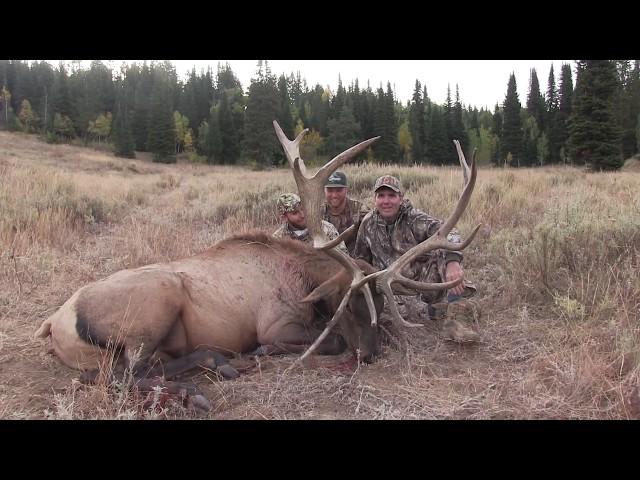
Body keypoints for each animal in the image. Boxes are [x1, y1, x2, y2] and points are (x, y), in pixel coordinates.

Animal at [33, 120, 476, 404]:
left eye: (380, 303)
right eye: (345, 303)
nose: (370, 353)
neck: (305, 279)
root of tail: (53, 322)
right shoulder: (276, 324)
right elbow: (321, 339)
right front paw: (265, 351)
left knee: (123, 372)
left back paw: (222, 363)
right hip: (154, 305)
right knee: (120, 377)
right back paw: (199, 390)